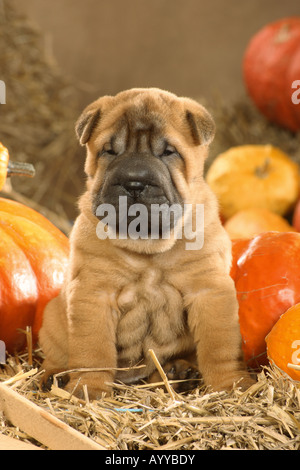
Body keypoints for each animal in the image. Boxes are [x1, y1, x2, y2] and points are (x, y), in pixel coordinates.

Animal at [39, 87, 254, 396]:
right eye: (109, 151)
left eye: (168, 152)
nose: (134, 183)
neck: (148, 246)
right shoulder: (94, 293)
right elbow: (93, 351)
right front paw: (89, 388)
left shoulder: (209, 290)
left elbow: (219, 346)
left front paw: (230, 384)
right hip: (52, 320)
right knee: (56, 355)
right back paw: (53, 377)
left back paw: (180, 372)